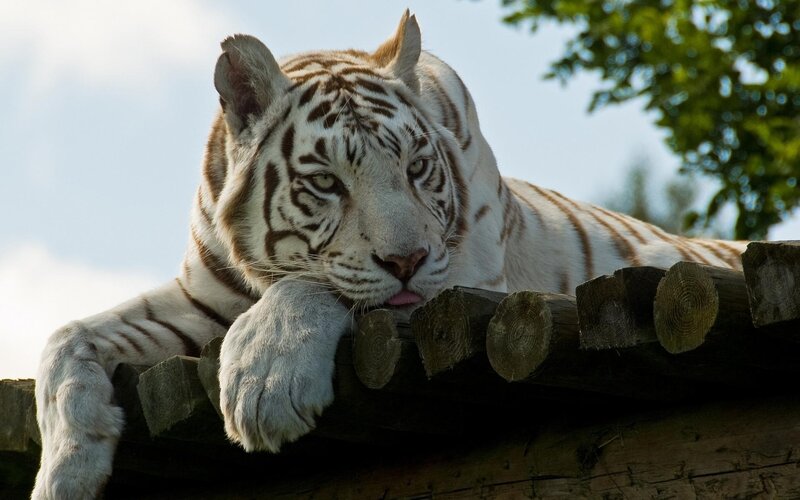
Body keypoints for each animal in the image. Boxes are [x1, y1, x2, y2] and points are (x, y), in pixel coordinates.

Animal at [32, 11, 747, 499]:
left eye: (416, 167)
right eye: (327, 183)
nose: (406, 260)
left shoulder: (464, 279)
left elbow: (319, 285)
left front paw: (263, 384)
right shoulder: (199, 299)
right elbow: (66, 338)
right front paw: (64, 471)